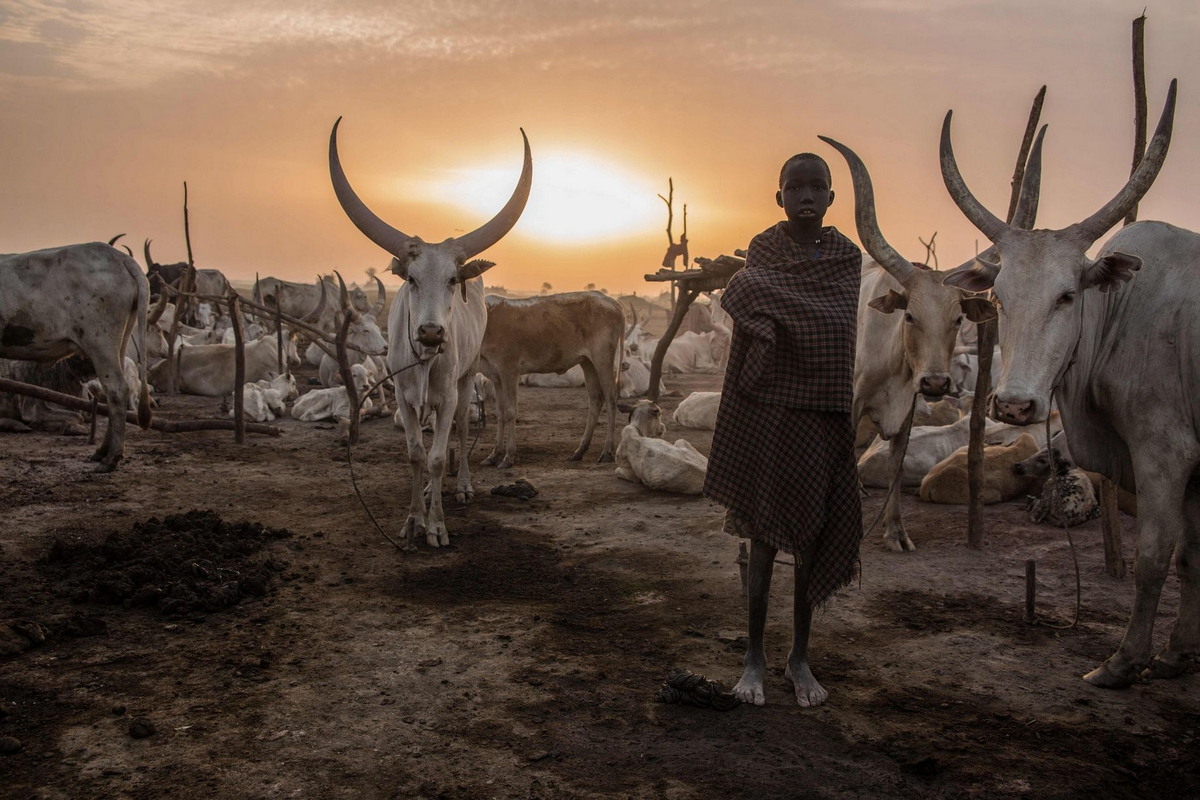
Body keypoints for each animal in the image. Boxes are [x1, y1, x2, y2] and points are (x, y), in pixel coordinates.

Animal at [0, 242, 152, 470]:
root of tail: (120, 257)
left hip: (100, 343)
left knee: (117, 390)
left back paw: (111, 458)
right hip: (121, 342)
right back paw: (102, 451)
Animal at [331, 118, 532, 546]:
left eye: (453, 279)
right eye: (410, 278)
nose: (430, 332)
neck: (423, 360)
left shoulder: (448, 395)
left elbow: (439, 457)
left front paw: (437, 526)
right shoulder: (404, 400)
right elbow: (415, 454)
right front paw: (413, 520)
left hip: (467, 377)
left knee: (461, 427)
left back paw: (462, 487)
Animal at [480, 291, 624, 470]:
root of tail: (613, 303)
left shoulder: (509, 371)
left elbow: (511, 412)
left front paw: (508, 457)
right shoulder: (497, 378)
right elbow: (500, 413)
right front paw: (493, 455)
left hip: (603, 358)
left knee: (611, 399)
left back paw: (607, 452)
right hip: (588, 362)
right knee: (596, 398)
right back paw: (579, 451)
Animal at [825, 131, 1041, 554]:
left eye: (957, 319)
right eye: (910, 316)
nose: (938, 382)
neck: (893, 358)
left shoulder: (909, 405)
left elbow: (896, 462)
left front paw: (896, 532)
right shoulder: (852, 400)